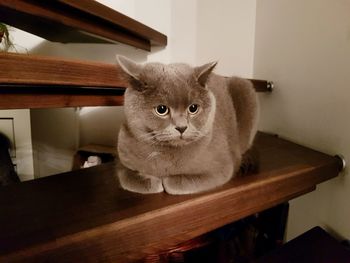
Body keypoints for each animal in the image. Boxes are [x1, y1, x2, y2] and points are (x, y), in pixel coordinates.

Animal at [116, 55, 258, 196]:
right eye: (161, 109)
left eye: (193, 108)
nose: (181, 127)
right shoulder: (122, 160)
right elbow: (126, 175)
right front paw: (152, 182)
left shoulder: (223, 166)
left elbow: (175, 182)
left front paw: (166, 181)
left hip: (243, 86)